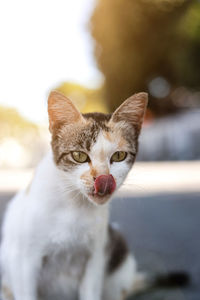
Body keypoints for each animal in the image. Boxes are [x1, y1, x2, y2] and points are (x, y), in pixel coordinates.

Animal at [0, 91, 188, 300]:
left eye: (119, 156)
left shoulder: (96, 257)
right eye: (79, 156)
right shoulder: (24, 260)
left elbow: (90, 291)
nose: (104, 179)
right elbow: (26, 290)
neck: (74, 205)